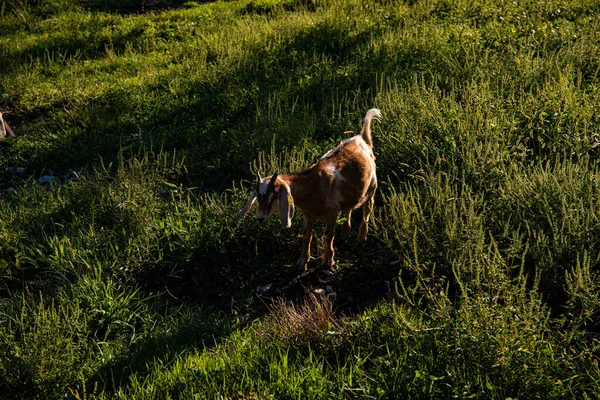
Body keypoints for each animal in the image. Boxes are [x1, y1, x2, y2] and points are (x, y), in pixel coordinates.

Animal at [238, 108, 382, 272]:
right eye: (258, 196)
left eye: (273, 197)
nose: (260, 218)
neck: (313, 186)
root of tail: (362, 138)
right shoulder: (308, 214)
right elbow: (306, 236)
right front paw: (302, 262)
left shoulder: (332, 212)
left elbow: (328, 235)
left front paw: (328, 261)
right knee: (349, 208)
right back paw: (345, 232)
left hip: (372, 187)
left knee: (367, 209)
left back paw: (361, 237)